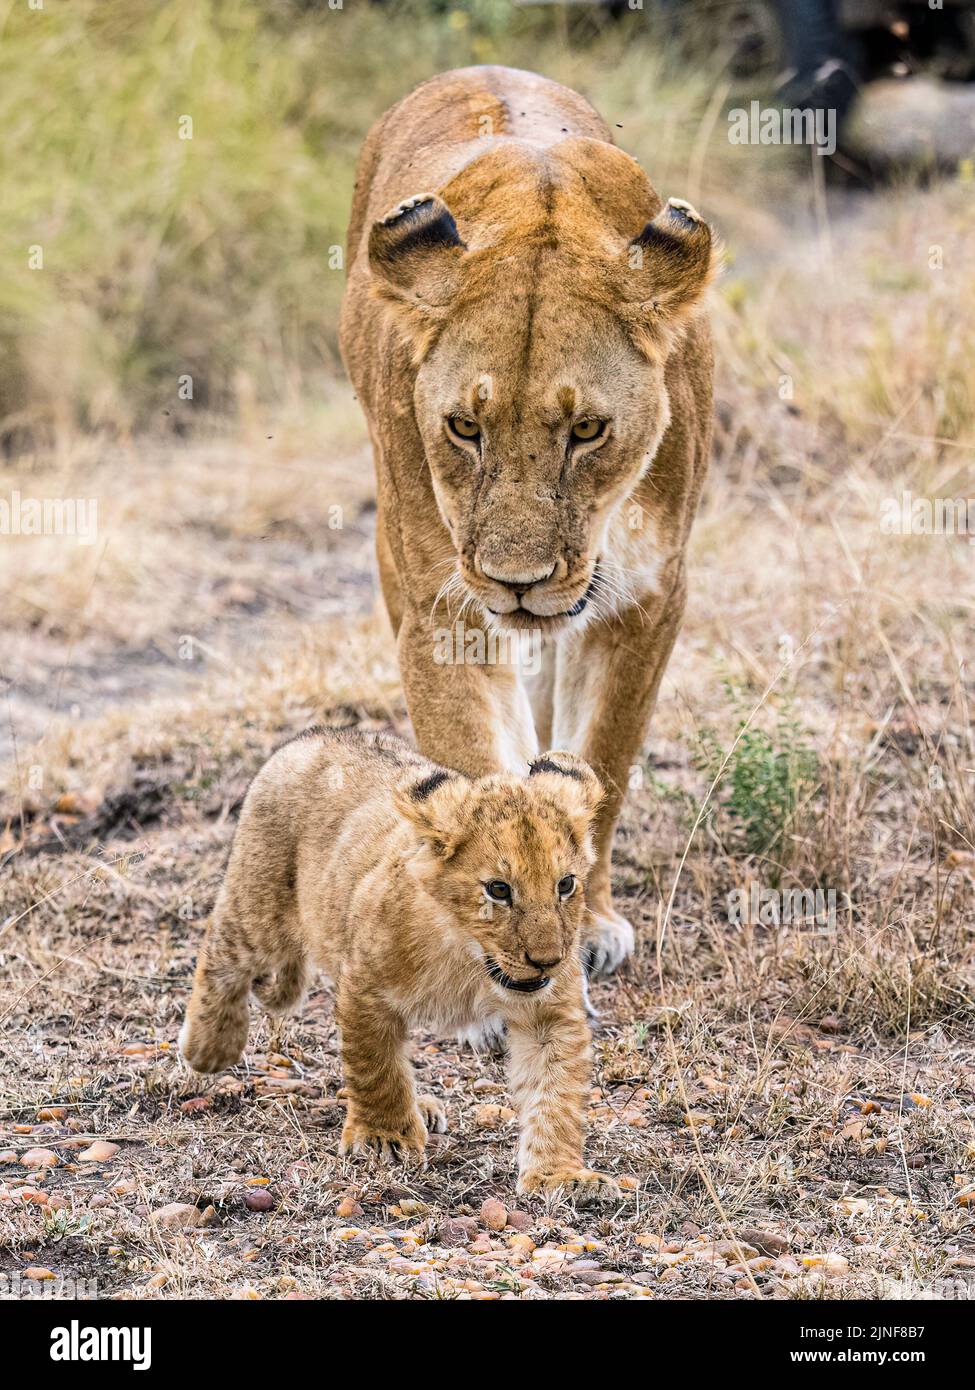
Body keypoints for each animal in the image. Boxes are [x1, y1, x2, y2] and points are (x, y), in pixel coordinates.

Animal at [179, 727, 619, 1200]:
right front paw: (383, 1136)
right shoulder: (365, 987)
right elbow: (376, 1067)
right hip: (261, 909)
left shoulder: (547, 1015)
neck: (468, 958)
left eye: (566, 884)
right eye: (499, 889)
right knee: (221, 952)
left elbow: (555, 1094)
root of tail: (314, 735)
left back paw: (422, 1107)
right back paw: (208, 1047)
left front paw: (560, 1176)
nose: (547, 961)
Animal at [340, 65, 715, 978]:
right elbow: (478, 768)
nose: (516, 584)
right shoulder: (443, 613)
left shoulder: (646, 602)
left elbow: (600, 765)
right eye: (463, 428)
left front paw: (589, 919)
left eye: (586, 431)